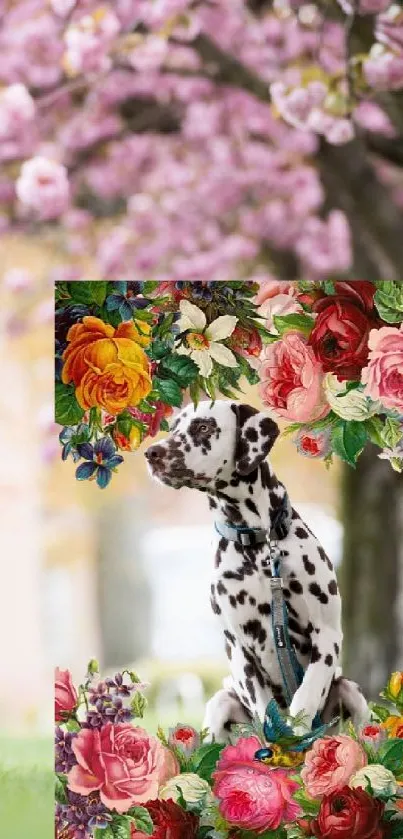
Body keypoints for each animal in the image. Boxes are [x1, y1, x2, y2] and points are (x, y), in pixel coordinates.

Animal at [147, 400, 370, 740]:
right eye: (172, 427)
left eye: (203, 427)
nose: (152, 453)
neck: (257, 543)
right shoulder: (239, 650)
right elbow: (266, 712)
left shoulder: (327, 635)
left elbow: (305, 698)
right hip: (220, 705)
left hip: (351, 693)